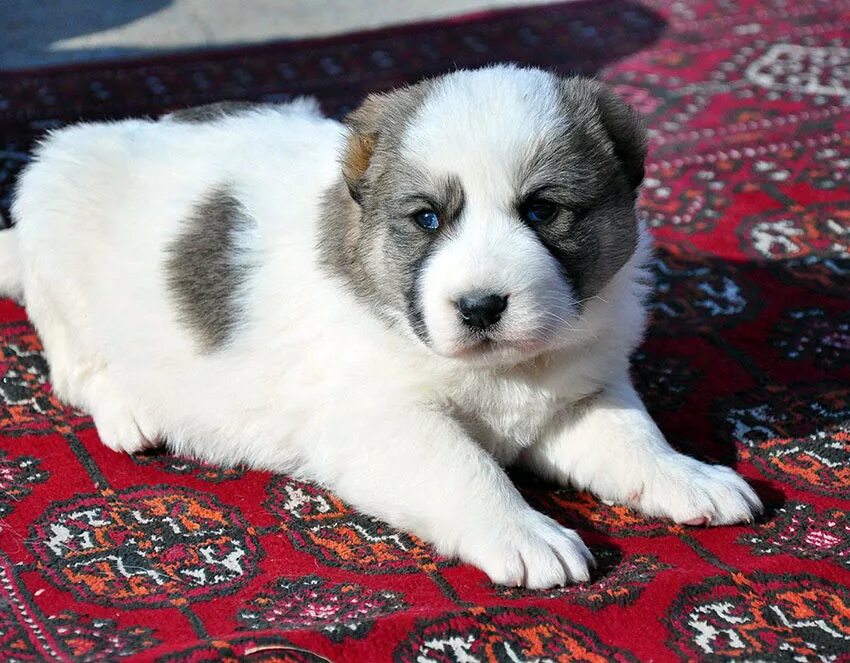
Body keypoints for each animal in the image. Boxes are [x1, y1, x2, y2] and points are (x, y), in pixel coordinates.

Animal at [0, 65, 756, 588]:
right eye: (426, 218)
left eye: (542, 210)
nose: (480, 306)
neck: (500, 370)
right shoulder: (381, 422)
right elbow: (466, 468)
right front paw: (524, 529)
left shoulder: (584, 392)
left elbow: (633, 435)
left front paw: (687, 475)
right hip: (57, 224)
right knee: (75, 366)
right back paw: (128, 411)